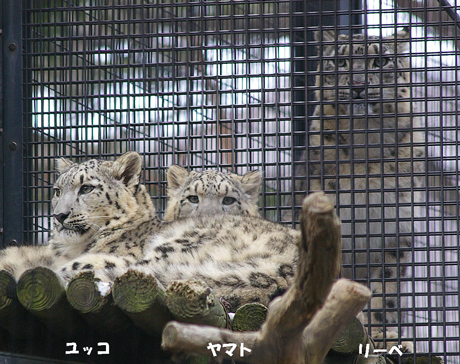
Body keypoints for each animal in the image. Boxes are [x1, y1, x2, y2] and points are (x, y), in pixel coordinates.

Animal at [286, 27, 426, 346]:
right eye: (340, 62)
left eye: (381, 60)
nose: (359, 84)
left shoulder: (395, 233)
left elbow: (385, 290)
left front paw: (383, 334)